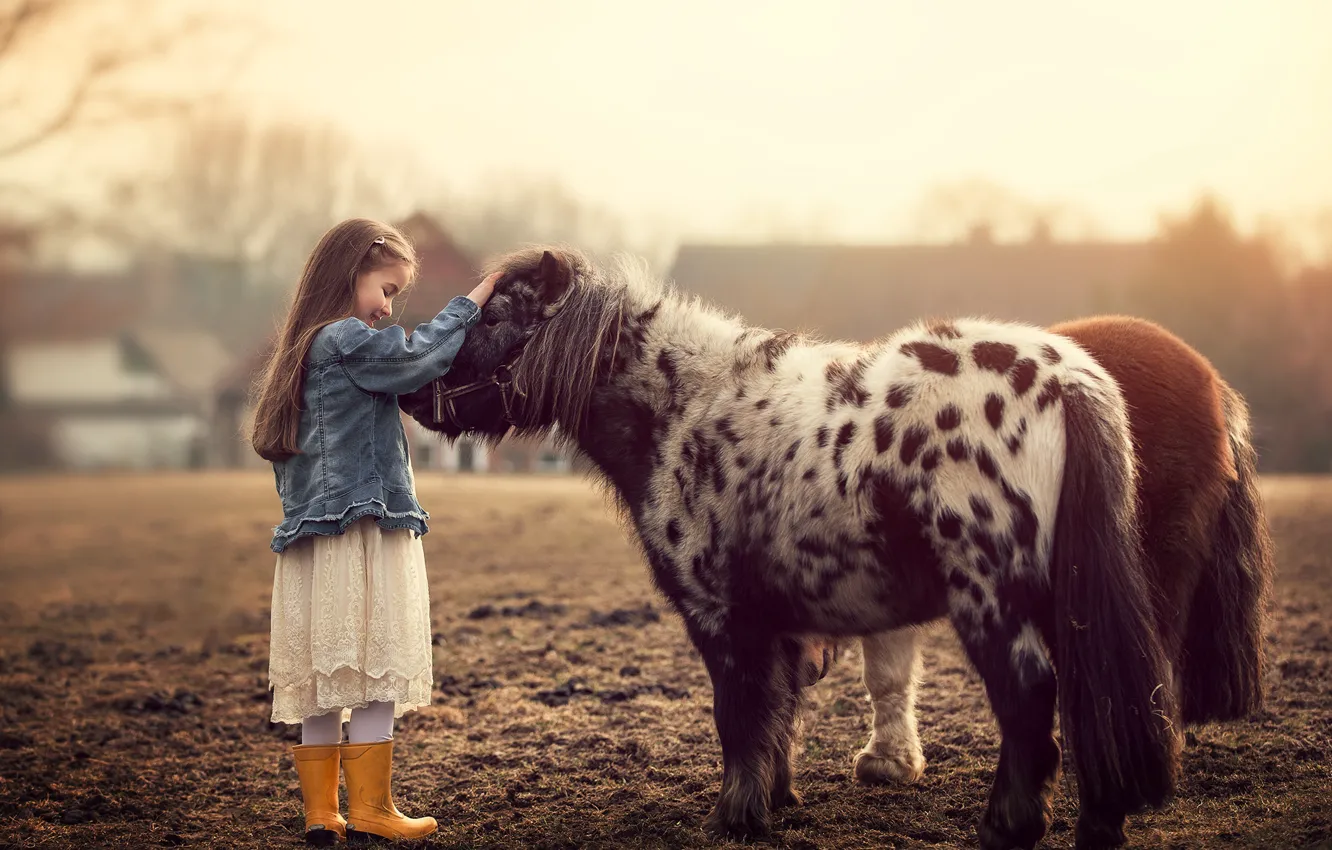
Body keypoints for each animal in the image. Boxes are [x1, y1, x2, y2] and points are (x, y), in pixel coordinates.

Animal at [400, 248, 1183, 850]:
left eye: (495, 315)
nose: (413, 396)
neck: (685, 410)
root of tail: (1065, 377)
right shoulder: (779, 627)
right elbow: (779, 718)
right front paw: (775, 802)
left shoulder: (724, 620)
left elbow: (741, 717)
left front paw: (736, 816)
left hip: (993, 602)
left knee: (1029, 702)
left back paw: (1006, 827)